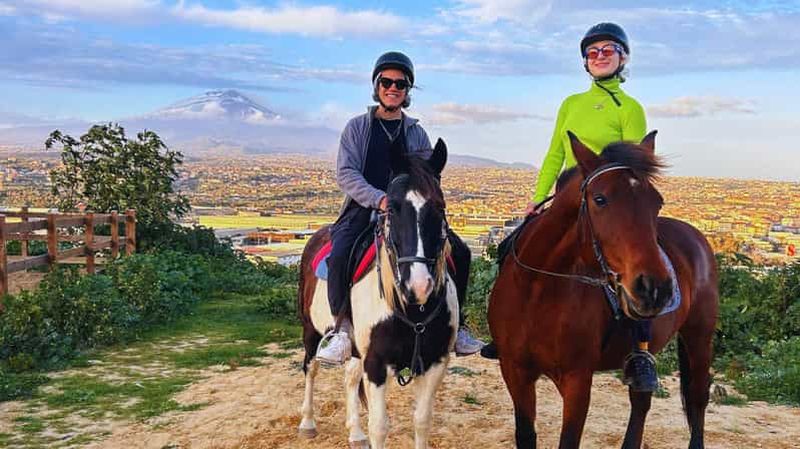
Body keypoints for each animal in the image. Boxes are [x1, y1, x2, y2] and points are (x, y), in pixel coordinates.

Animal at [296, 138, 459, 449]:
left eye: (440, 206)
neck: (411, 312)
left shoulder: (435, 363)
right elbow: (380, 426)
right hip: (310, 329)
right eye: (392, 208)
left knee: (349, 377)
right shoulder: (376, 364)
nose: (418, 286)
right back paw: (308, 423)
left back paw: (355, 433)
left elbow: (422, 421)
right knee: (311, 368)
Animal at [488, 131, 719, 449]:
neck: (537, 290)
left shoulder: (577, 379)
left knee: (697, 395)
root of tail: (696, 234)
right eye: (600, 199)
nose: (655, 288)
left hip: (699, 335)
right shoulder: (515, 371)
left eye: (657, 202)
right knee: (642, 401)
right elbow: (525, 434)